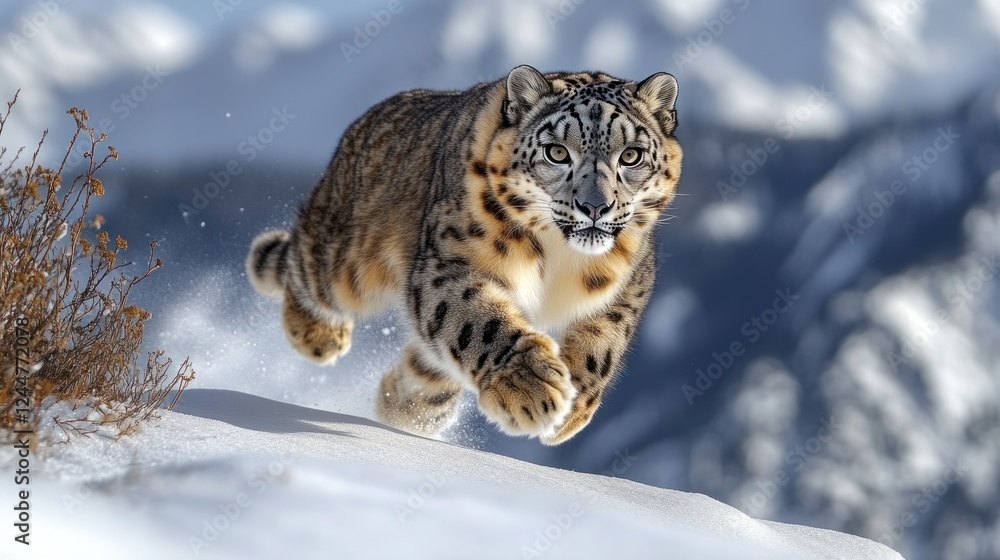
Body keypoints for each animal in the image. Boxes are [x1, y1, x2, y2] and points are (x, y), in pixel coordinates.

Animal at [246, 65, 681, 445]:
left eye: (631, 155)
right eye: (557, 152)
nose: (595, 207)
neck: (559, 257)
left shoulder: (630, 286)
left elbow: (604, 345)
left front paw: (572, 410)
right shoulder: (450, 266)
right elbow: (479, 321)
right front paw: (531, 388)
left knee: (431, 368)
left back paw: (403, 404)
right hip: (345, 259)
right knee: (306, 266)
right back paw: (319, 335)